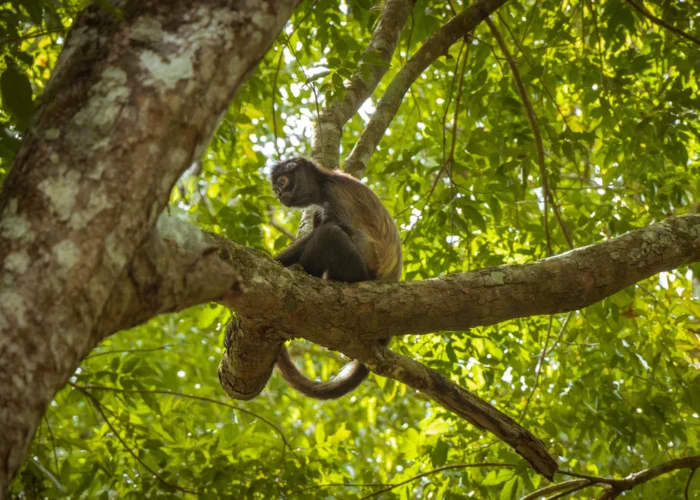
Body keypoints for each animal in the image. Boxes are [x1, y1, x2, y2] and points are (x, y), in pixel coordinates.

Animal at [271, 157, 402, 399]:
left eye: (282, 182)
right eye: (276, 188)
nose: (279, 194)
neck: (325, 181)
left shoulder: (336, 193)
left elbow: (336, 228)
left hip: (357, 271)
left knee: (330, 233)